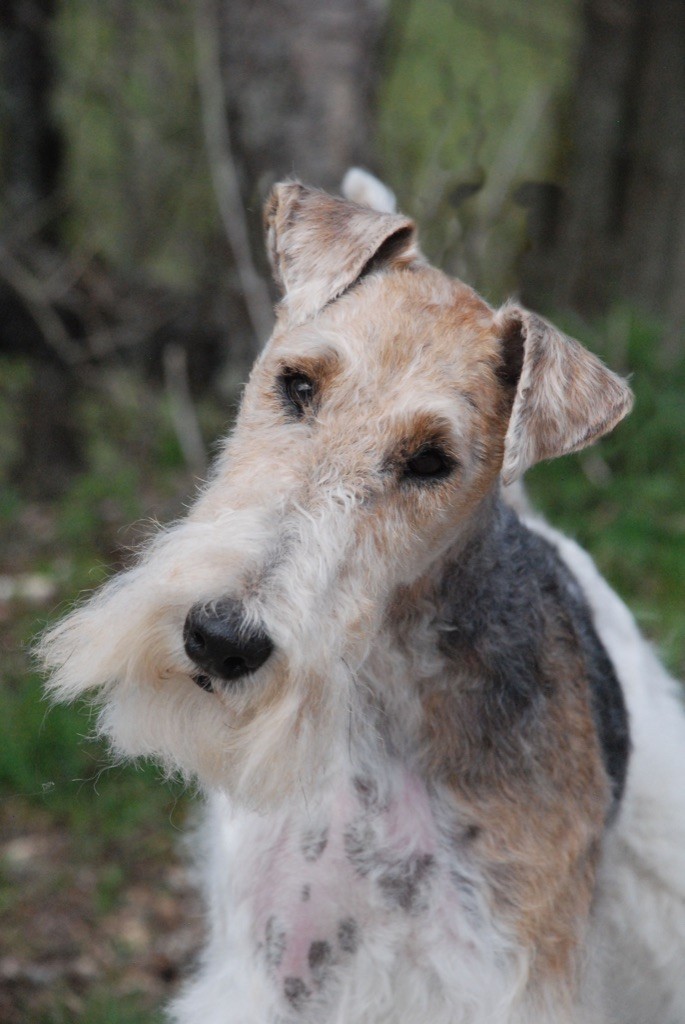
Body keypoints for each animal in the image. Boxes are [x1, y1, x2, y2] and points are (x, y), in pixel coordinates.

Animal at [40, 178, 683, 1024]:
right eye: (297, 384)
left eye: (432, 461)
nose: (221, 639)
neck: (380, 700)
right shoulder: (274, 967)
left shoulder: (505, 978)